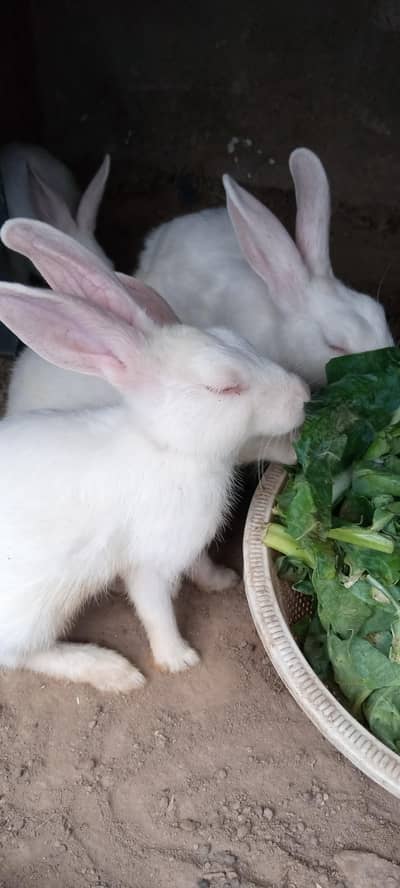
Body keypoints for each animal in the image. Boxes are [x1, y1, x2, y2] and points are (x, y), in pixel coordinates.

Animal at [0, 218, 309, 691]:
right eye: (223, 387)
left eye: (238, 339)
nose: (304, 395)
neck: (167, 448)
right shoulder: (150, 561)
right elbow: (155, 609)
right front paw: (178, 659)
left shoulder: (188, 544)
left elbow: (199, 563)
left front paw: (222, 581)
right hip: (33, 608)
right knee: (20, 655)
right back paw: (113, 671)